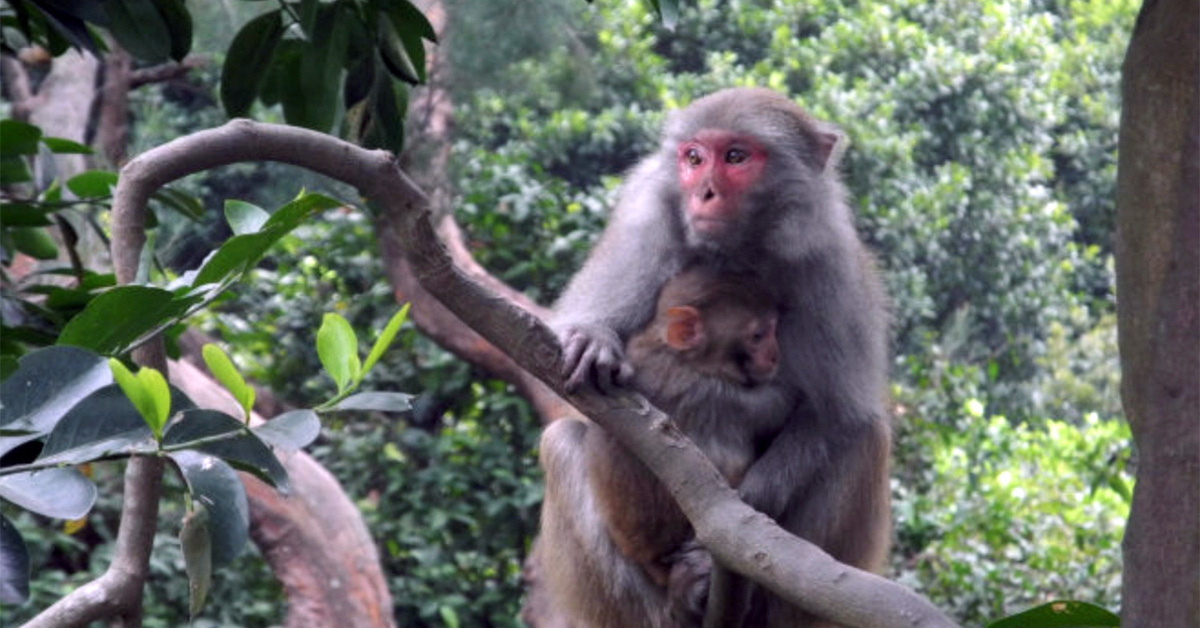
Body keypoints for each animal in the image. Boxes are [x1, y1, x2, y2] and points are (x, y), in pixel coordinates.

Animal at [544, 85, 892, 624]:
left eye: (735, 157)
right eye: (694, 158)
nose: (703, 191)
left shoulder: (830, 262)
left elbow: (837, 415)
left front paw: (746, 506)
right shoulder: (645, 221)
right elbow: (567, 391)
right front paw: (592, 338)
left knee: (865, 440)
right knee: (561, 443)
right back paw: (675, 603)